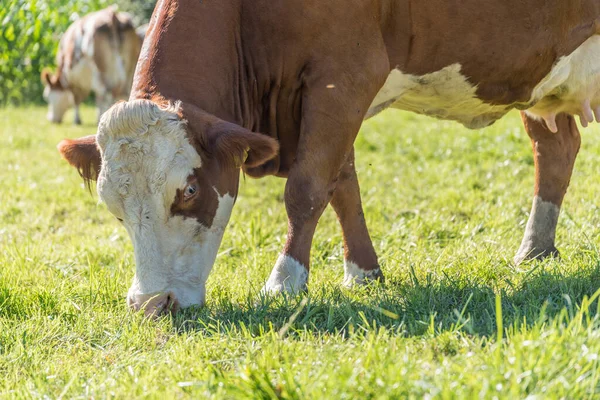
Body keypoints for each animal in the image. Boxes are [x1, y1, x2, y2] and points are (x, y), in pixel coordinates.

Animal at [58, 0, 600, 318]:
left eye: (188, 190)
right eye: (113, 208)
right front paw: (363, 272)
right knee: (554, 149)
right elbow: (341, 185)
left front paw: (284, 281)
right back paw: (536, 249)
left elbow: (306, 188)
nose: (152, 303)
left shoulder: (346, 76)